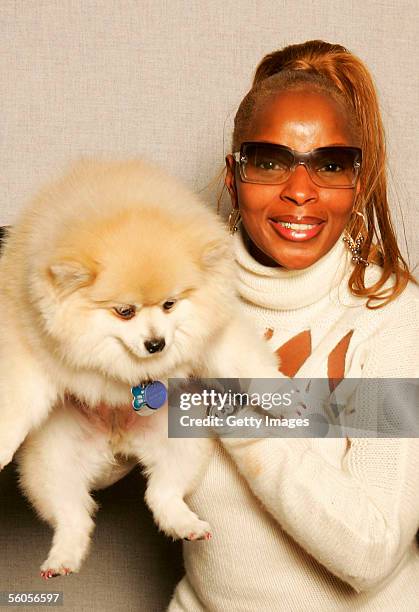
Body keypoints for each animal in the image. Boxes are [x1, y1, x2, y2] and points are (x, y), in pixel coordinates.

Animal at [0, 158, 282, 580]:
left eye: (169, 304)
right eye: (125, 311)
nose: (156, 344)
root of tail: (119, 444)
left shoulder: (216, 334)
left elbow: (243, 360)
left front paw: (287, 397)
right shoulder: (29, 347)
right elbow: (17, 403)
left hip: (180, 438)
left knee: (162, 493)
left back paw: (185, 524)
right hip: (55, 460)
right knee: (72, 515)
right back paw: (63, 558)